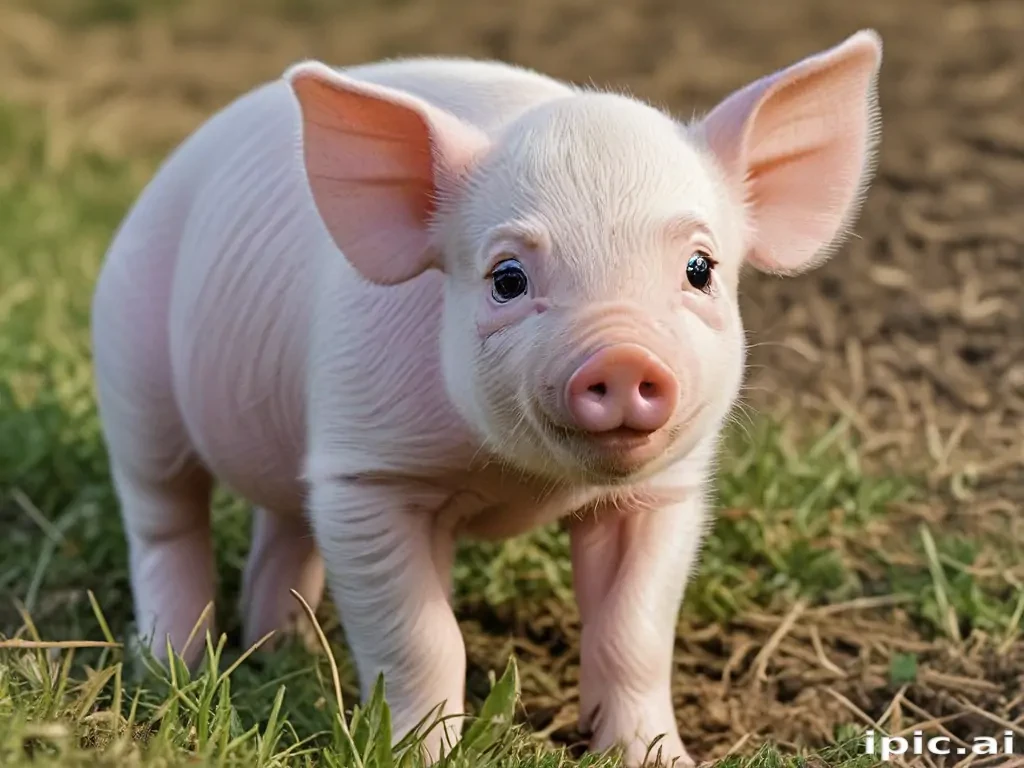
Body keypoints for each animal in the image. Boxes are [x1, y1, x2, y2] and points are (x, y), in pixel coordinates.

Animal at [90, 29, 883, 766]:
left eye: (700, 268)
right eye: (507, 278)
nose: (624, 356)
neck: (519, 480)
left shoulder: (666, 490)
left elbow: (634, 633)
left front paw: (657, 757)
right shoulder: (367, 468)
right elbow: (421, 638)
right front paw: (422, 754)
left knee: (284, 527)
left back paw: (283, 652)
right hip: (132, 372)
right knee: (165, 521)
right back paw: (171, 666)